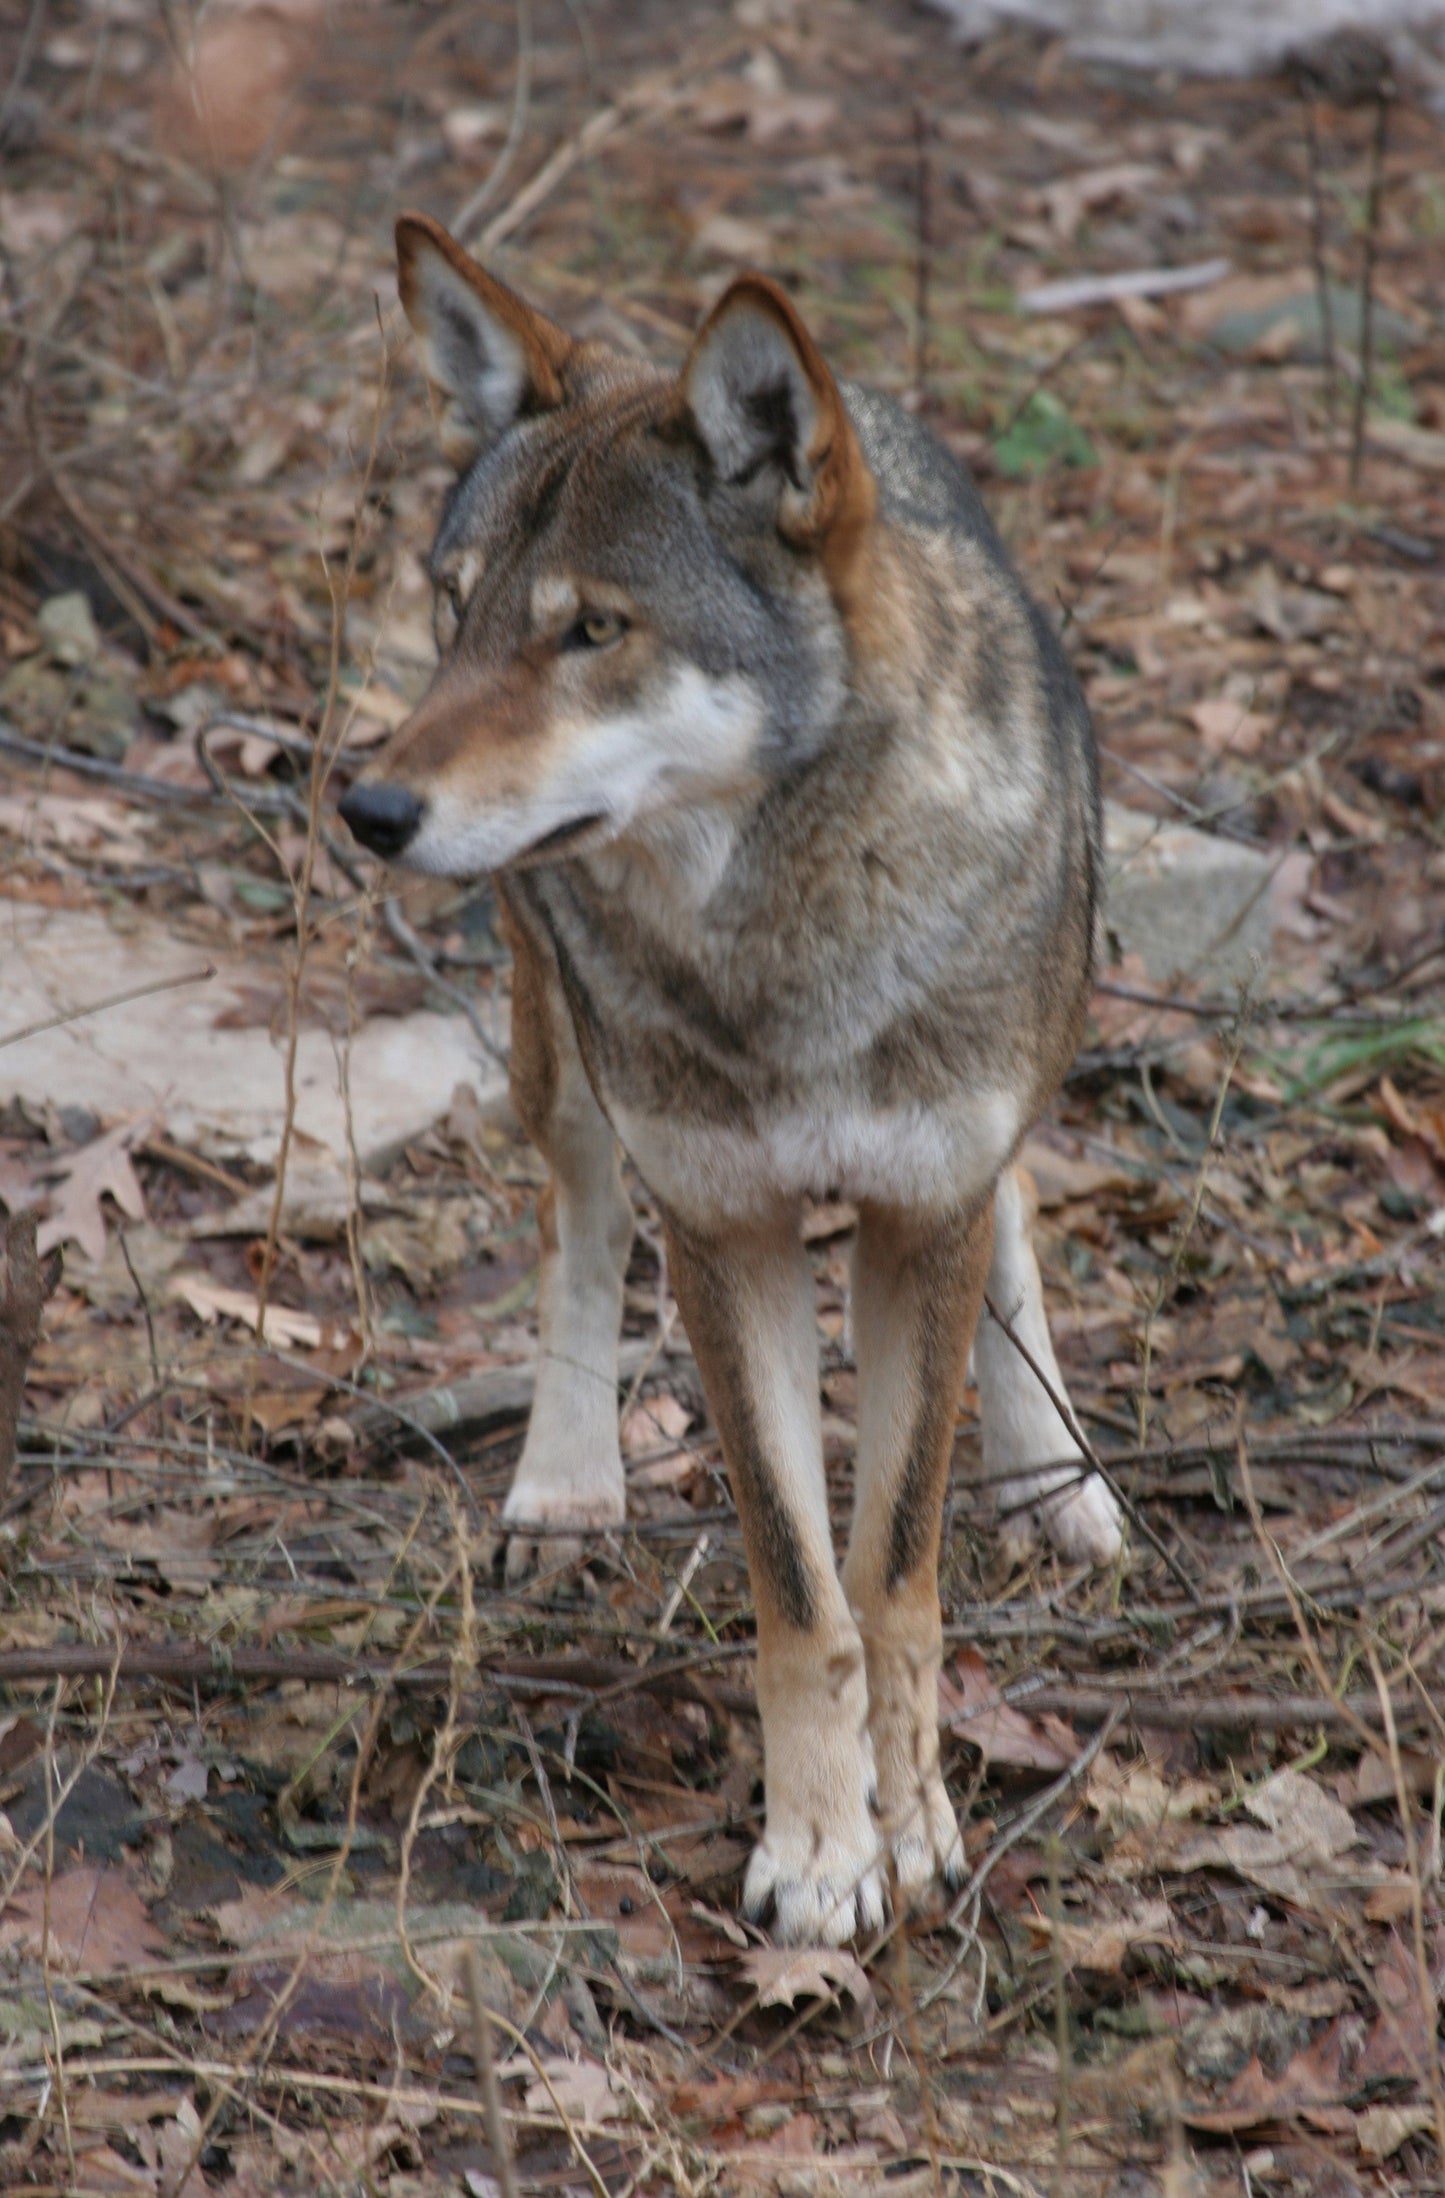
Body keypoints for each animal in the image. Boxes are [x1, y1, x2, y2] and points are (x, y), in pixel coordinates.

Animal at [340, 212, 1124, 1945]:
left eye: (592, 629)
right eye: (454, 606)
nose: (367, 805)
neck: (786, 945)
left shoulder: (918, 1209)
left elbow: (892, 1575)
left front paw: (912, 1826)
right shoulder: (729, 1233)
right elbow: (800, 1589)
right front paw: (821, 1849)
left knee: (1019, 1208)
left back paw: (1056, 1474)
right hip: (558, 1038)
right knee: (576, 1227)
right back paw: (565, 1485)